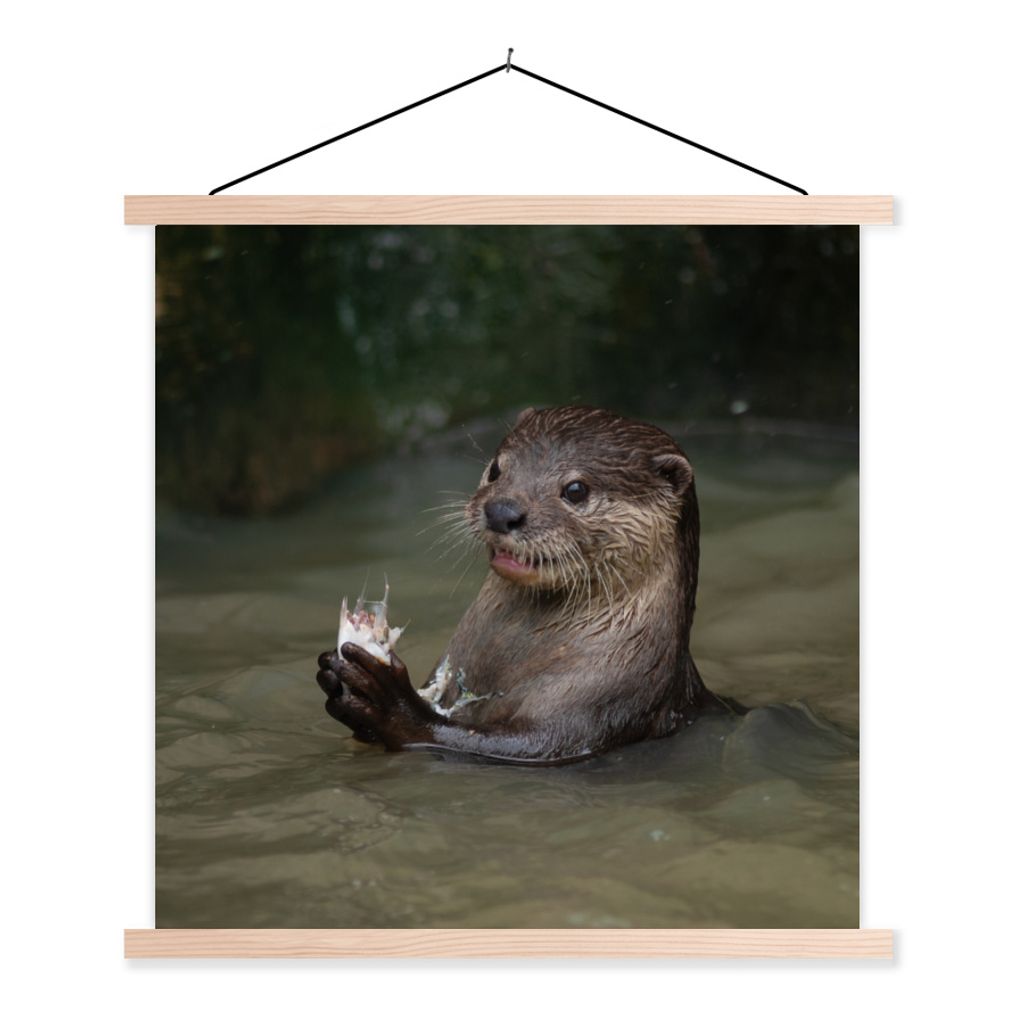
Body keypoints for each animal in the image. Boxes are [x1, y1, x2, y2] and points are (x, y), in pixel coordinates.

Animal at [316, 405, 728, 764]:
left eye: (576, 489)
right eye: (497, 469)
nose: (501, 511)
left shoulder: (606, 702)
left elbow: (513, 744)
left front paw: (392, 703)